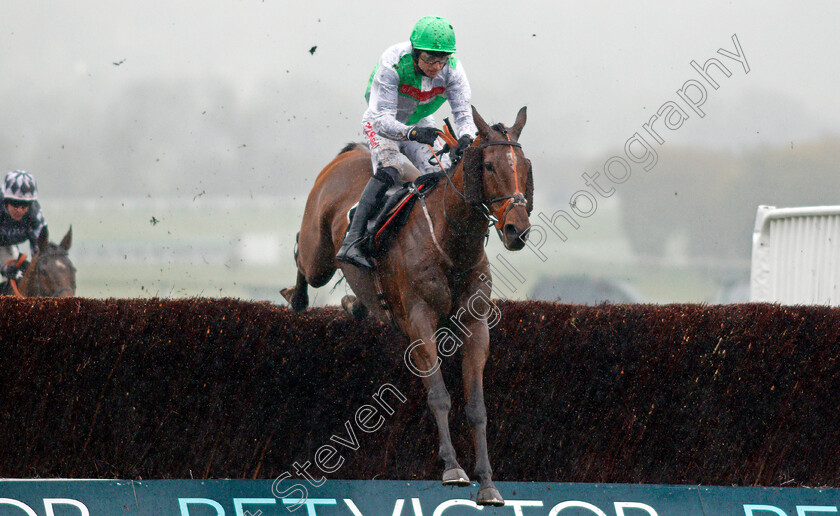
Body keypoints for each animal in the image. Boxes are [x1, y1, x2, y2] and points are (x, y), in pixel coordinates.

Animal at [282, 105, 532, 504]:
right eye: (489, 166)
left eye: (523, 166)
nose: (516, 230)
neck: (451, 244)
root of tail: (350, 152)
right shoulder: (420, 322)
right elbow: (439, 396)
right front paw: (453, 468)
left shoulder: (475, 326)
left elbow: (477, 407)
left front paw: (488, 484)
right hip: (318, 253)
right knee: (303, 257)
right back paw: (297, 297)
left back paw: (354, 304)